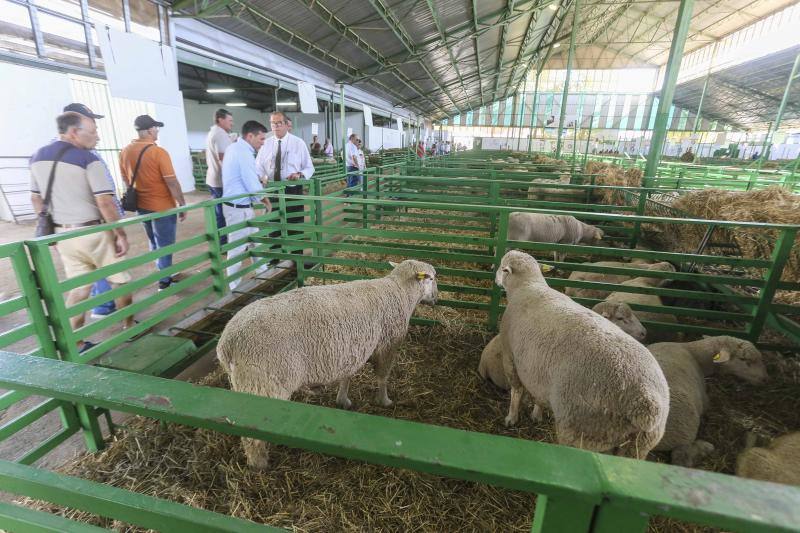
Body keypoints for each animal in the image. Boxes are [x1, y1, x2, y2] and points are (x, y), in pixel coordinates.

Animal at [216, 260, 438, 468]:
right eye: (432, 278)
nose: (436, 298)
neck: (400, 291)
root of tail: (227, 343)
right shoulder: (387, 345)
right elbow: (382, 377)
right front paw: (385, 401)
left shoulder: (351, 350)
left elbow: (347, 376)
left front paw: (343, 400)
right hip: (263, 384)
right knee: (251, 437)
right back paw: (259, 464)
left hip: (243, 383)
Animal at [494, 250, 668, 458]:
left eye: (502, 267)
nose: (495, 278)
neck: (528, 286)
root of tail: (646, 403)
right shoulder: (538, 370)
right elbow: (539, 397)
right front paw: (537, 414)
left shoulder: (510, 356)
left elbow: (516, 391)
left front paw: (511, 418)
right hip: (638, 446)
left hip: (581, 429)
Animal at [648, 336, 768, 466]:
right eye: (743, 359)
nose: (765, 379)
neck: (693, 352)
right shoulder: (704, 398)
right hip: (683, 430)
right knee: (682, 458)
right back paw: (706, 448)